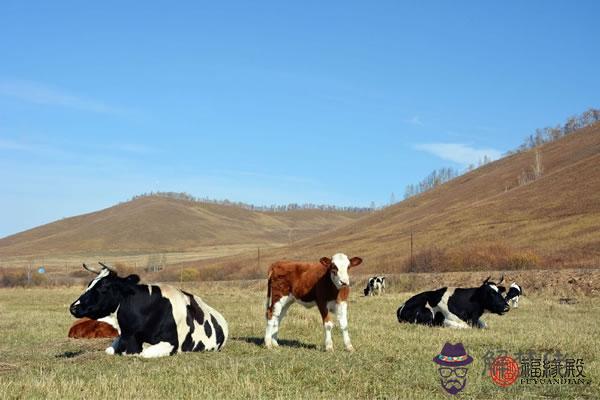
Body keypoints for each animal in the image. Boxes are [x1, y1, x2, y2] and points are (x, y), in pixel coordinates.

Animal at [69, 264, 229, 358]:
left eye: (104, 286)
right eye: (89, 284)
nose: (73, 307)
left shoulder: (170, 344)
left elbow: (143, 354)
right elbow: (109, 350)